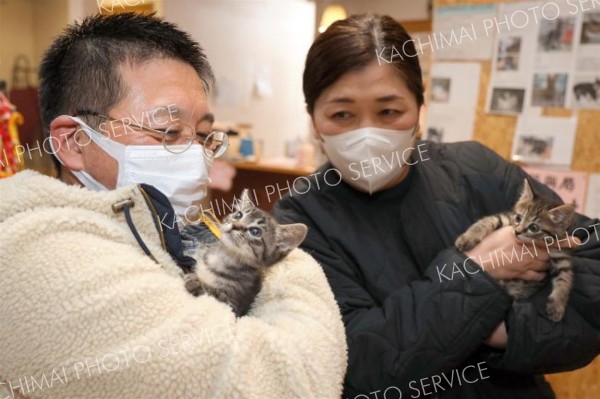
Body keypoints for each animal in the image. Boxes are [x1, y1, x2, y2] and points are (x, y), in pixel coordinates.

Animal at [183, 189, 308, 318]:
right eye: (238, 215)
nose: (235, 225)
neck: (223, 256)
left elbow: (214, 297)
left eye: (255, 231)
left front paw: (196, 282)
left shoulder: (234, 305)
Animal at [454, 180, 576, 324]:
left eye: (534, 227)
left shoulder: (560, 255)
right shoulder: (506, 219)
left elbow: (565, 279)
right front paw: (468, 237)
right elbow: (489, 220)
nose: (517, 232)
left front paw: (557, 306)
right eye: (518, 218)